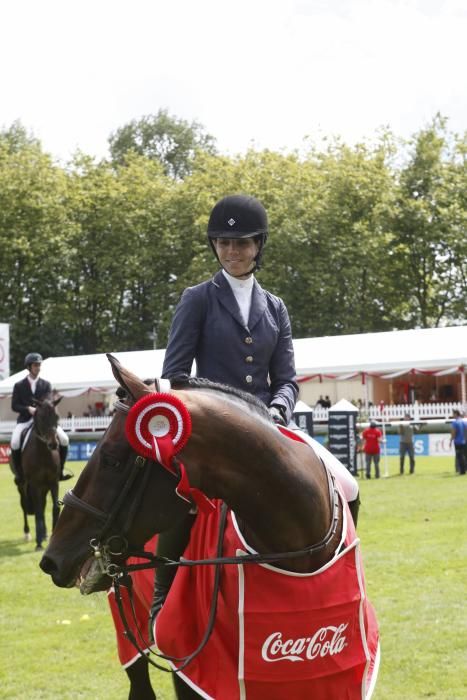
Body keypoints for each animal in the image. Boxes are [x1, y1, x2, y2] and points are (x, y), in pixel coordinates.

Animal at [13, 396, 62, 548]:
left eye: (57, 417)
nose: (53, 444)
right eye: (41, 417)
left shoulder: (53, 482)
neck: (43, 453)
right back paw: (28, 534)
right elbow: (38, 511)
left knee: (43, 503)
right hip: (22, 485)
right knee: (24, 506)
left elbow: (54, 508)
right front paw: (39, 542)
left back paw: (45, 534)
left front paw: (51, 536)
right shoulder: (34, 484)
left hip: (44, 487)